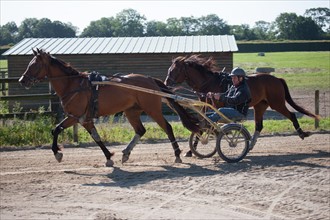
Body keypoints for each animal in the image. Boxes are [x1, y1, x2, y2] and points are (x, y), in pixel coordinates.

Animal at [18, 49, 199, 166]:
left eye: (34, 65)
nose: (22, 80)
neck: (74, 85)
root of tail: (149, 79)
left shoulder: (76, 117)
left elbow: (57, 130)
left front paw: (58, 153)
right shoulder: (83, 119)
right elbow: (92, 136)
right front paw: (109, 156)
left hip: (152, 109)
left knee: (167, 127)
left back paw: (177, 154)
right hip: (131, 111)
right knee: (140, 130)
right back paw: (126, 153)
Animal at [165, 55, 320, 155]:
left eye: (174, 70)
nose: (166, 83)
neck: (209, 83)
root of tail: (276, 79)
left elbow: (207, 125)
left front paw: (194, 149)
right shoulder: (206, 106)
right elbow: (204, 124)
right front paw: (192, 149)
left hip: (277, 103)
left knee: (292, 115)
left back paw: (302, 133)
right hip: (260, 106)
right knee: (259, 126)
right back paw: (250, 145)